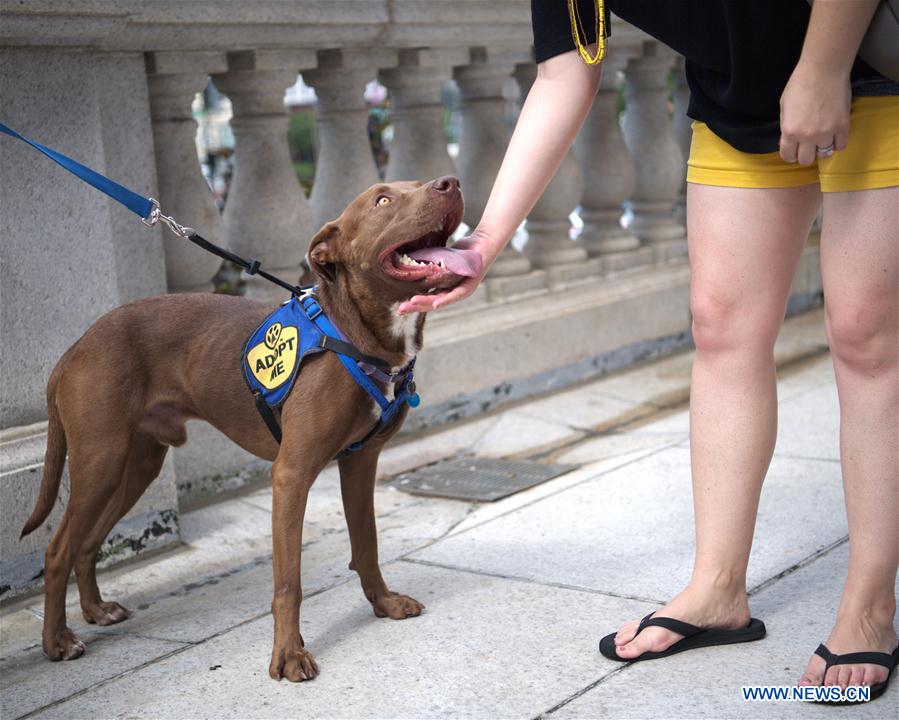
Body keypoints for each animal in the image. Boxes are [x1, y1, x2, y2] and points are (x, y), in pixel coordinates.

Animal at [17, 174, 482, 680]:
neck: (354, 333)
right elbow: (289, 582)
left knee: (87, 542)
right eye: (382, 200)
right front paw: (289, 655)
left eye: (417, 182)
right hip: (100, 461)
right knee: (58, 549)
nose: (450, 182)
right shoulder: (291, 475)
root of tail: (75, 347)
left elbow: (368, 545)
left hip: (137, 465)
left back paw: (96, 610)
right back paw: (57, 642)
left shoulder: (361, 463)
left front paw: (384, 604)